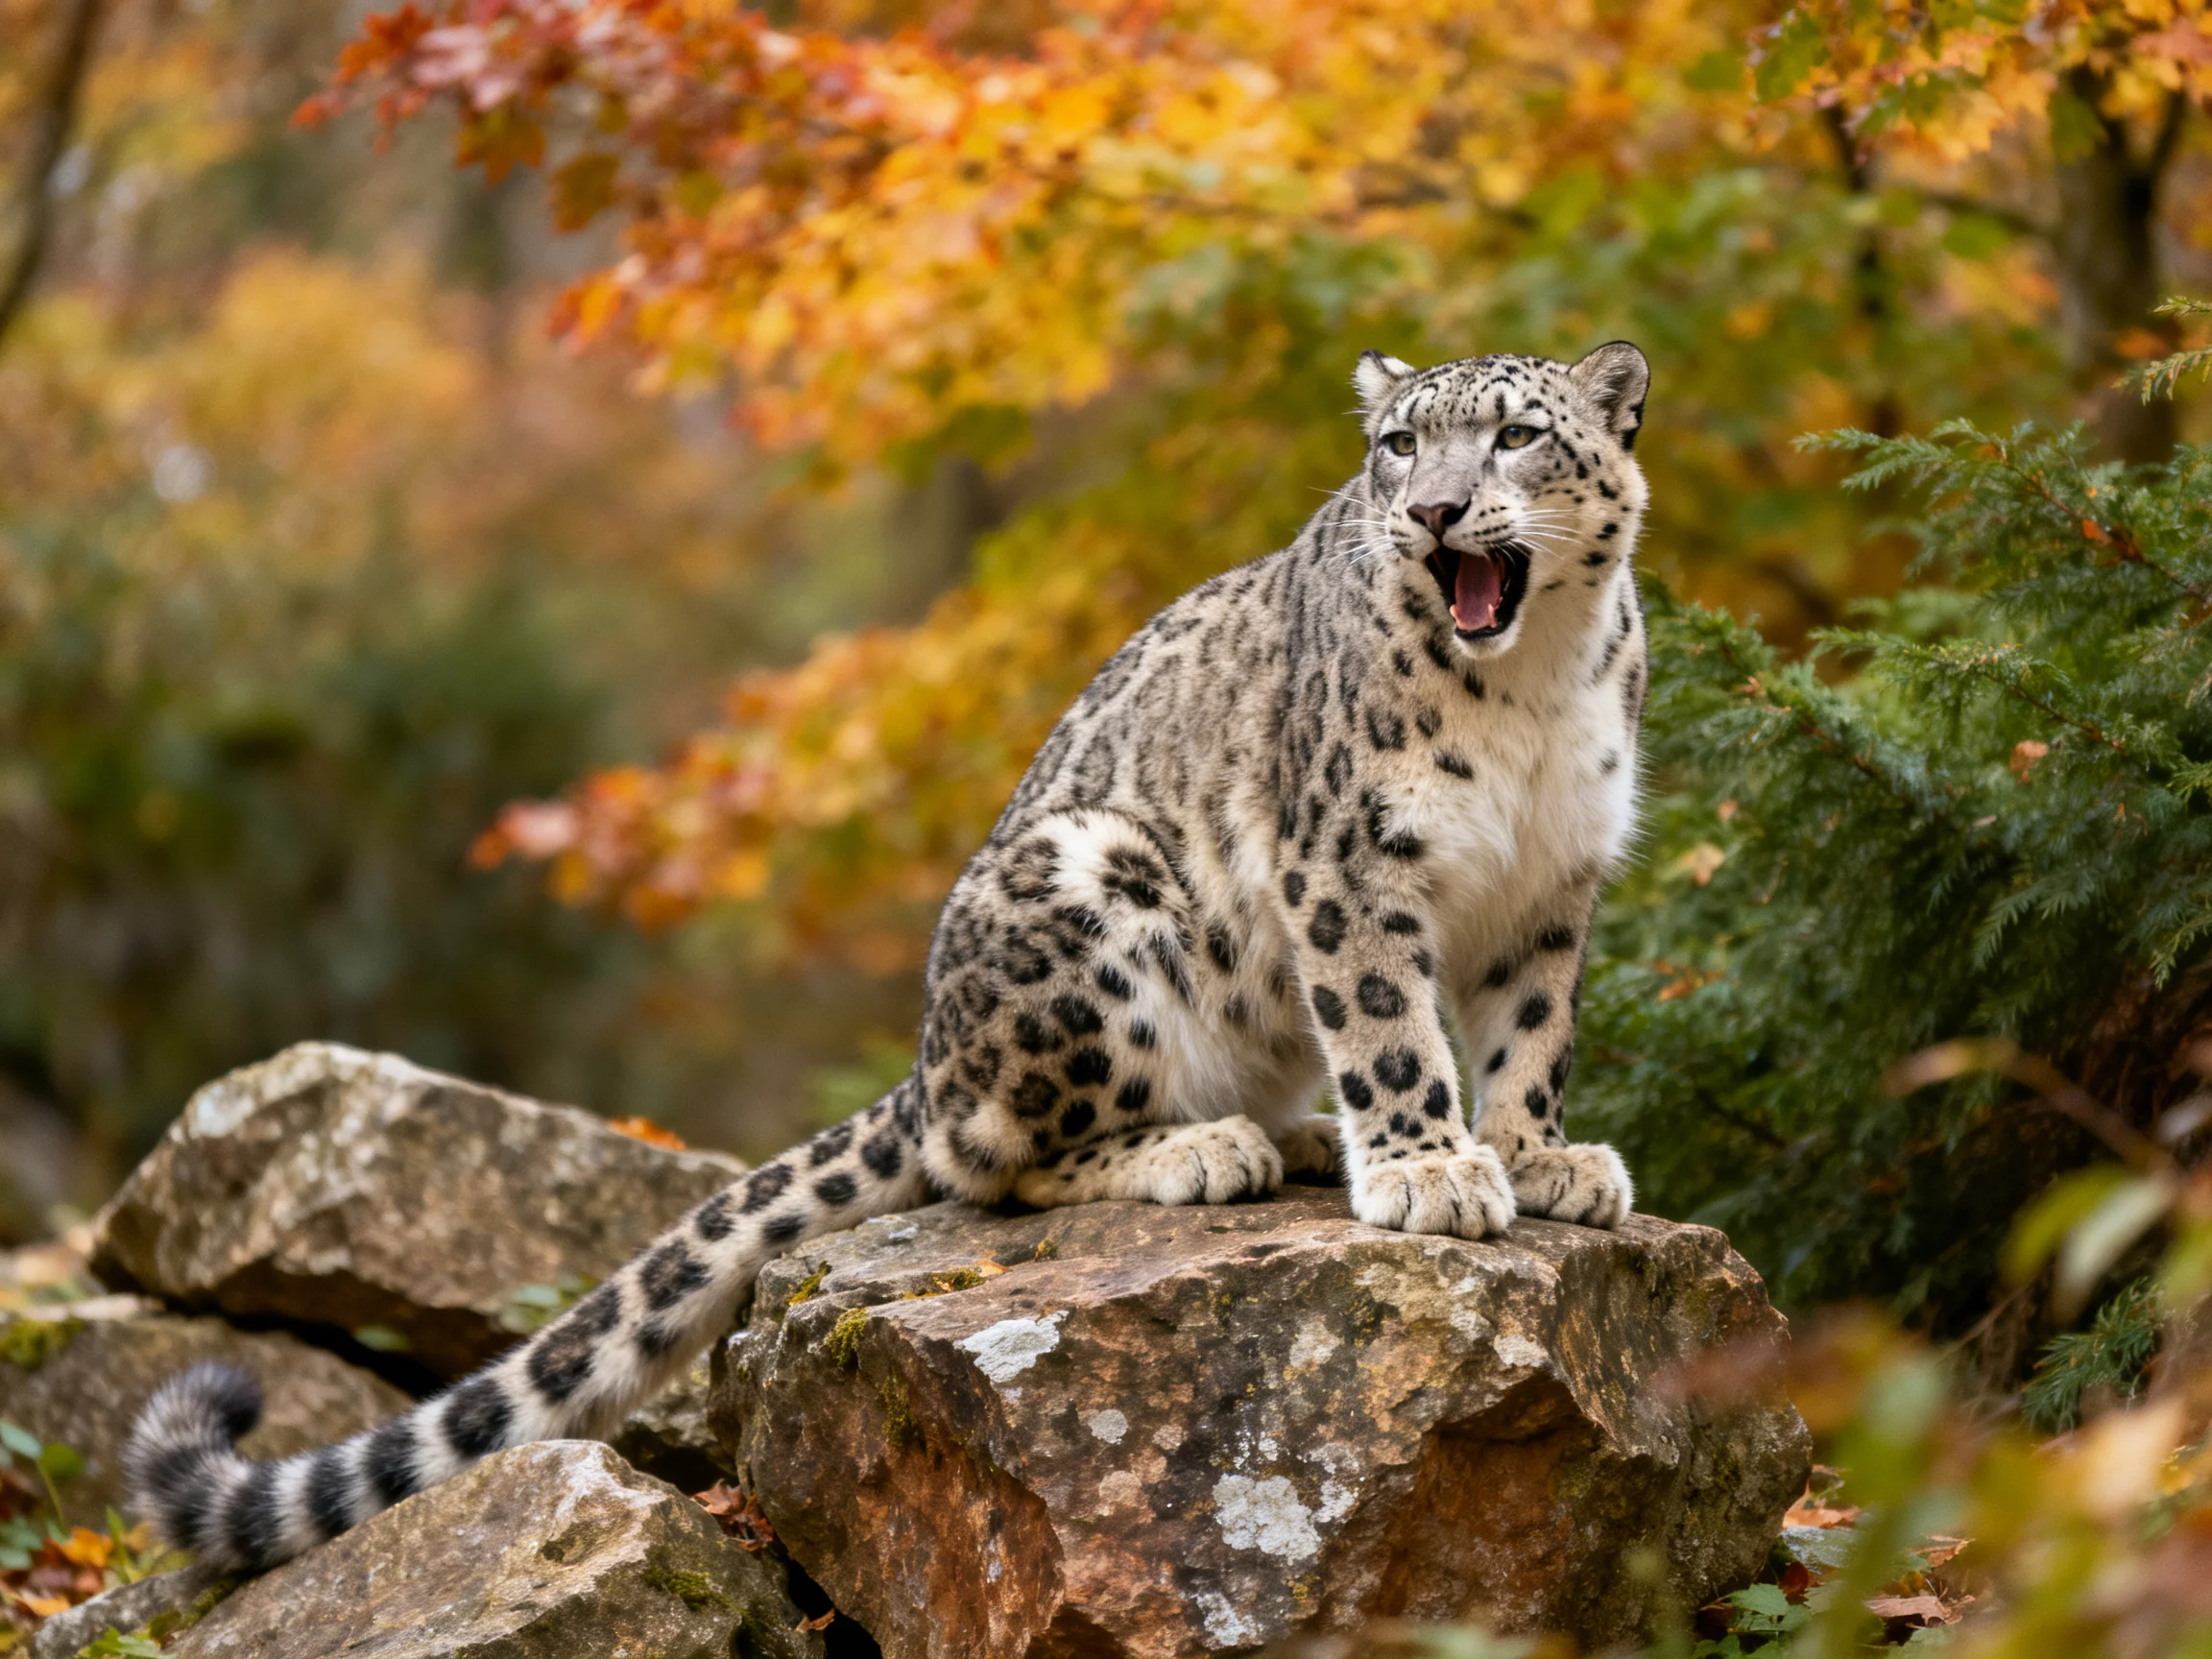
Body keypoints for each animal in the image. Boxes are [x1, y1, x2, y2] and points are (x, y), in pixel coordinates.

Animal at [128, 341, 1653, 1571]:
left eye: (1514, 434)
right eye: (1398, 443)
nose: (1433, 510)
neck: (1527, 695)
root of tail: (929, 1053)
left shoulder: (1555, 882)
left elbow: (1530, 1033)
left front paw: (1539, 1157)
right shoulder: (1345, 864)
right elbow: (1390, 1023)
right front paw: (1429, 1171)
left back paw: (1281, 1137)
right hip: (1092, 885)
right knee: (999, 1157)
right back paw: (1203, 1146)